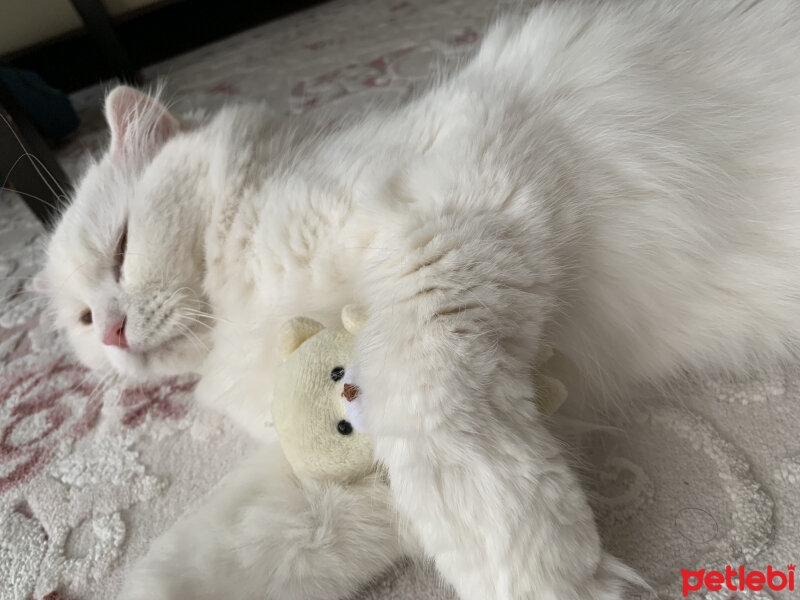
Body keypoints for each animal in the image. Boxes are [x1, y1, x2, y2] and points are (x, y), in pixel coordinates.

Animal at [40, 1, 800, 600]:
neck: (239, 311)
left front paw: (552, 578)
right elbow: (205, 560)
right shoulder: (341, 469)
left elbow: (434, 418)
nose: (110, 333)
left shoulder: (458, 216)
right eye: (82, 318)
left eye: (122, 249)